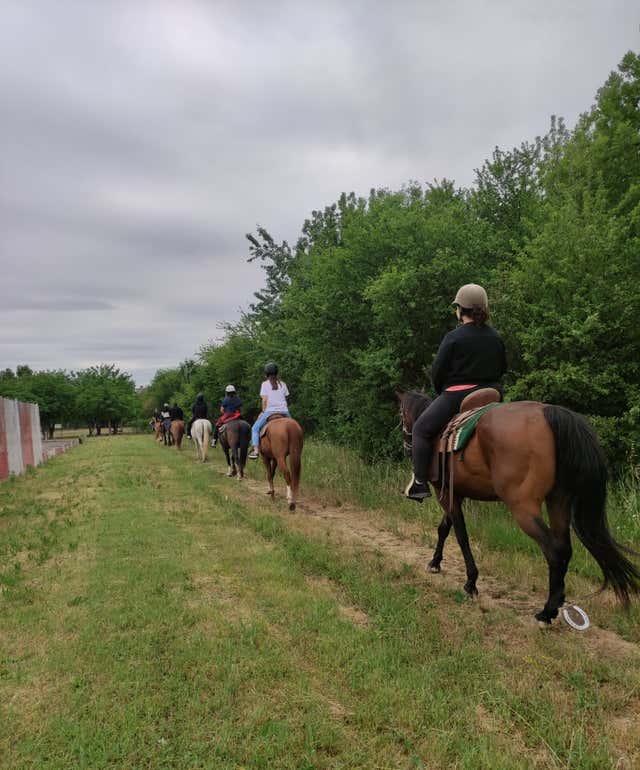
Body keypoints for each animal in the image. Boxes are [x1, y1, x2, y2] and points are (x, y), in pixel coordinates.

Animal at [398, 390, 640, 626]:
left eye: (401, 414)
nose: (407, 445)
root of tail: (550, 412)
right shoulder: (455, 492)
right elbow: (445, 528)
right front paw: (435, 562)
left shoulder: (445, 492)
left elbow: (461, 535)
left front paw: (470, 582)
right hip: (558, 501)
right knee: (564, 548)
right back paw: (556, 601)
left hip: (523, 506)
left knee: (553, 550)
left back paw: (546, 612)